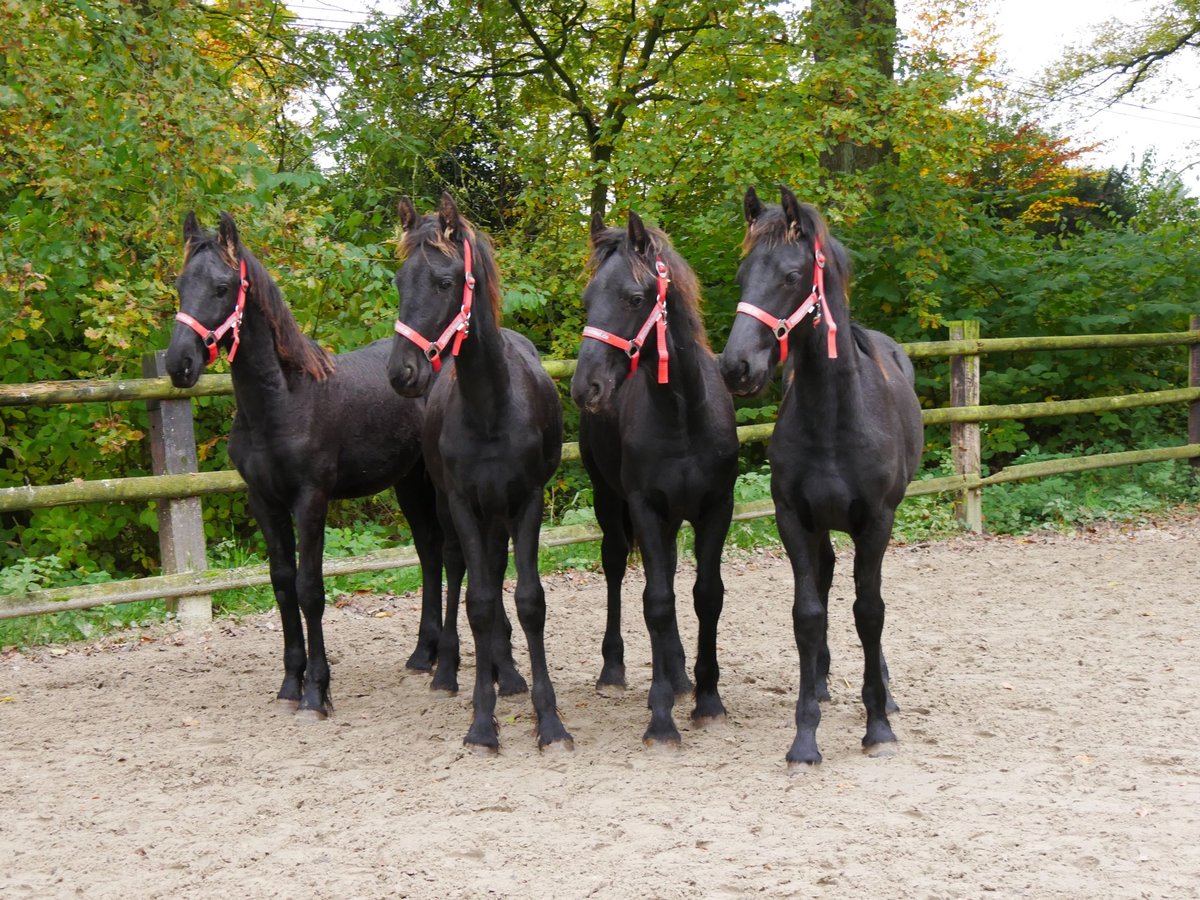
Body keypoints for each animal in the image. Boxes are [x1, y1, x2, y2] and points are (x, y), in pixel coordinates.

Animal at [165, 210, 451, 720]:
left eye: (221, 287)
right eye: (181, 284)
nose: (179, 363)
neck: (281, 402)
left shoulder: (311, 501)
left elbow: (309, 590)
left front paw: (316, 692)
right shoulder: (265, 501)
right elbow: (282, 585)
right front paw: (289, 684)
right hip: (408, 482)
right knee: (429, 549)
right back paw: (424, 653)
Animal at [384, 195, 571, 753]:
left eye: (444, 281)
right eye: (399, 281)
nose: (402, 372)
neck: (490, 406)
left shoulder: (527, 501)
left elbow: (528, 600)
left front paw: (549, 720)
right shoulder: (464, 503)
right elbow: (479, 602)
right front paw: (482, 722)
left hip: (499, 514)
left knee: (490, 567)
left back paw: (504, 670)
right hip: (452, 510)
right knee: (455, 568)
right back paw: (450, 670)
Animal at [571, 210, 739, 748]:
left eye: (634, 298)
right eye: (588, 301)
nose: (586, 387)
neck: (684, 414)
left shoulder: (715, 508)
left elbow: (706, 596)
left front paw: (707, 699)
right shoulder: (645, 506)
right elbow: (658, 602)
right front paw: (661, 717)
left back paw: (682, 676)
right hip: (611, 503)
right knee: (620, 571)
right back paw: (617, 670)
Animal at [715, 188, 921, 768]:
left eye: (791, 275)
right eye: (742, 275)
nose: (736, 367)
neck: (834, 418)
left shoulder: (877, 522)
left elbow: (870, 611)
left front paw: (878, 724)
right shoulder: (794, 519)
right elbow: (808, 614)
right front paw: (805, 734)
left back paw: (886, 693)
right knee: (827, 581)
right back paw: (825, 681)